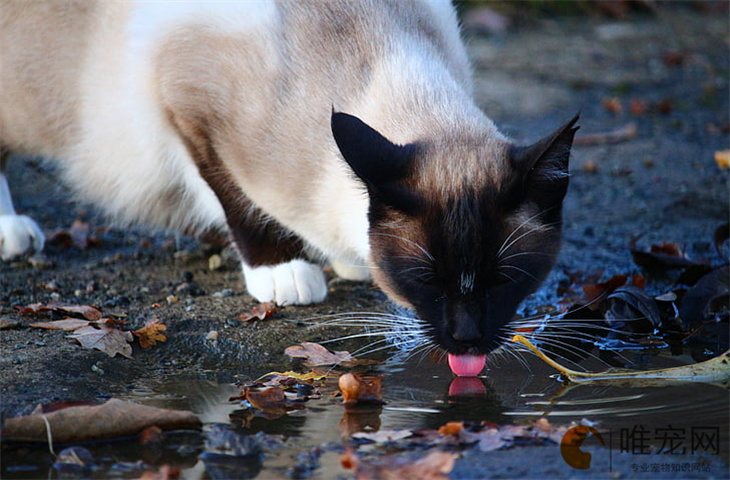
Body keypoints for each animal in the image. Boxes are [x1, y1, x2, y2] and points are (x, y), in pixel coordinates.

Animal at [1, 0, 576, 376]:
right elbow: (235, 197)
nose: (468, 340)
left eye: (504, 281)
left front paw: (346, 260)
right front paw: (284, 272)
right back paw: (11, 231)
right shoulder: (189, 105)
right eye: (426, 282)